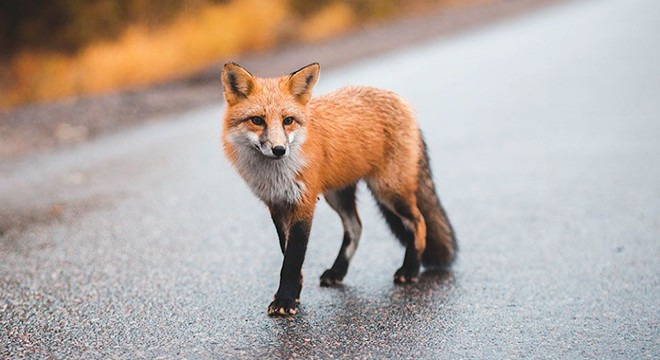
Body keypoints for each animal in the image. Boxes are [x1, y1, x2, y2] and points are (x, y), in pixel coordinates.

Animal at [219, 63, 456, 316]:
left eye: (288, 120)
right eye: (257, 120)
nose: (279, 149)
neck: (276, 174)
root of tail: (400, 99)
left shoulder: (304, 203)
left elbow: (292, 259)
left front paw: (285, 299)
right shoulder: (277, 204)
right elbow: (287, 254)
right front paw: (294, 293)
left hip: (389, 191)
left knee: (418, 222)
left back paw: (410, 269)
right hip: (338, 195)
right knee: (356, 227)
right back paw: (338, 271)